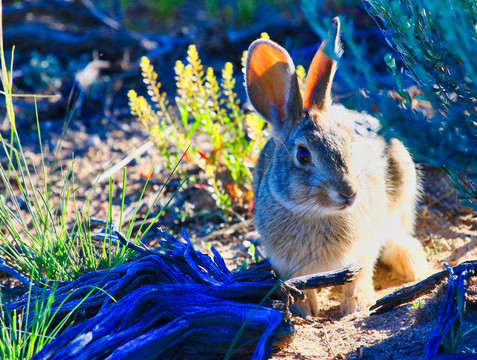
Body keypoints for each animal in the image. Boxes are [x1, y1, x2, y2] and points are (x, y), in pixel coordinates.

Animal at [245, 17, 428, 316]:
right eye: (303, 155)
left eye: (348, 143)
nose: (349, 193)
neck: (314, 213)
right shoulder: (286, 264)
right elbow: (299, 283)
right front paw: (305, 308)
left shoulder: (363, 247)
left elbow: (361, 272)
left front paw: (356, 304)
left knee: (395, 230)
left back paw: (411, 262)